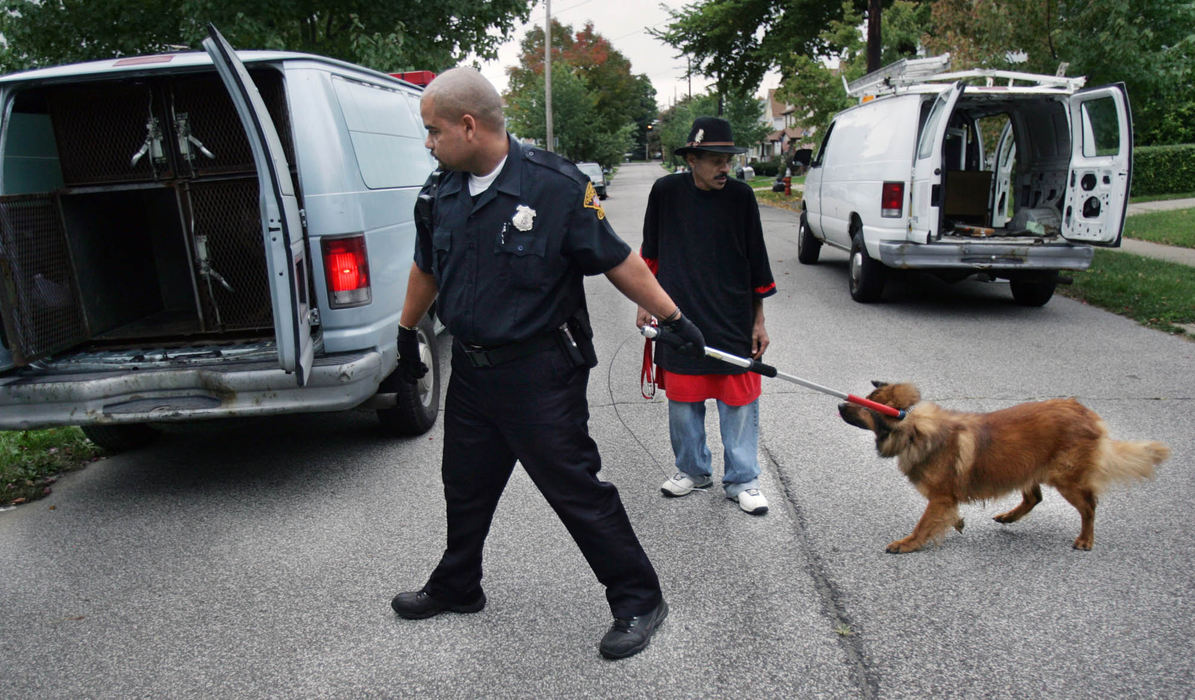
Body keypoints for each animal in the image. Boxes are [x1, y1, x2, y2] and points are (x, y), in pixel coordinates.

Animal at [841, 382, 1166, 549]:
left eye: (864, 404)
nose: (840, 405)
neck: (912, 428)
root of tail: (1089, 415)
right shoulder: (945, 498)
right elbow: (944, 516)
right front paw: (956, 522)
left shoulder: (942, 495)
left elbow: (924, 523)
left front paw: (908, 543)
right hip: (1026, 465)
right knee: (1034, 497)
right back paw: (1009, 517)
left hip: (1065, 478)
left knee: (1089, 507)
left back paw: (1086, 539)